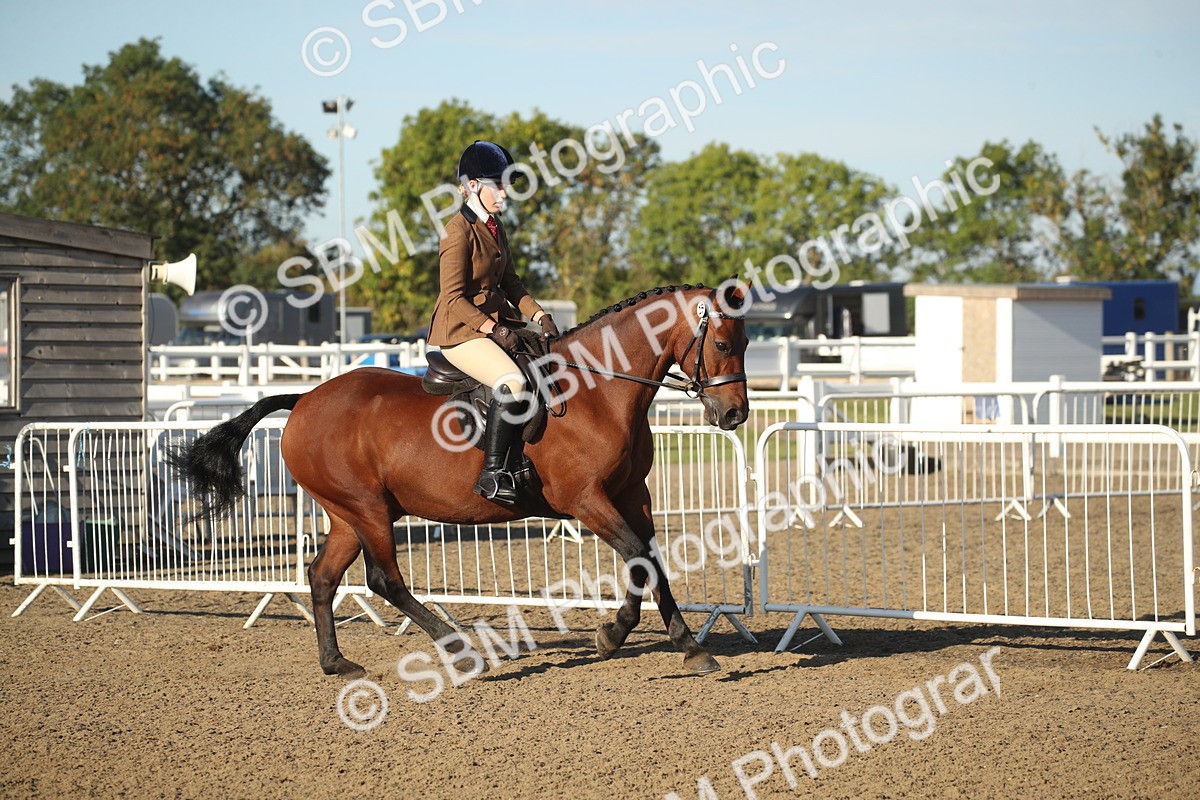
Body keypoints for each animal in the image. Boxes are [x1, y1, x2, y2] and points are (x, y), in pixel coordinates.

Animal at [169, 283, 749, 677]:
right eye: (723, 344)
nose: (735, 415)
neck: (598, 390)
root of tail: (305, 398)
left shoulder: (634, 495)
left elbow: (651, 562)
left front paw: (675, 645)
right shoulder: (586, 501)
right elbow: (638, 560)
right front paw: (624, 637)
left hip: (347, 514)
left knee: (322, 577)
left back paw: (337, 663)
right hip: (367, 510)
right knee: (383, 580)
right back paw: (460, 652)